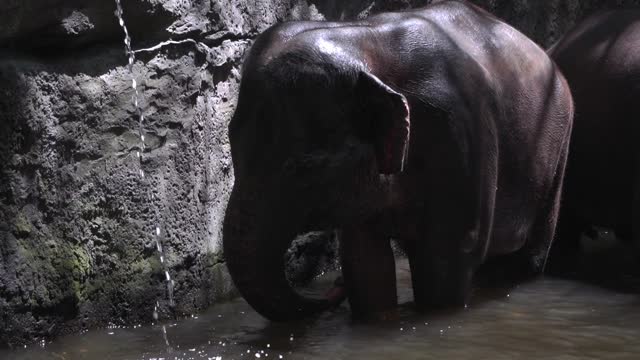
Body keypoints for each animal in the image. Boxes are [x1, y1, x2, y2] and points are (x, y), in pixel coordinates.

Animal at [224, 0, 576, 320]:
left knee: (530, 253)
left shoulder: (460, 134)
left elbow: (445, 260)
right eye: (231, 144)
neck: (364, 40)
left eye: (303, 169)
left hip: (558, 144)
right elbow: (365, 261)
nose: (333, 287)